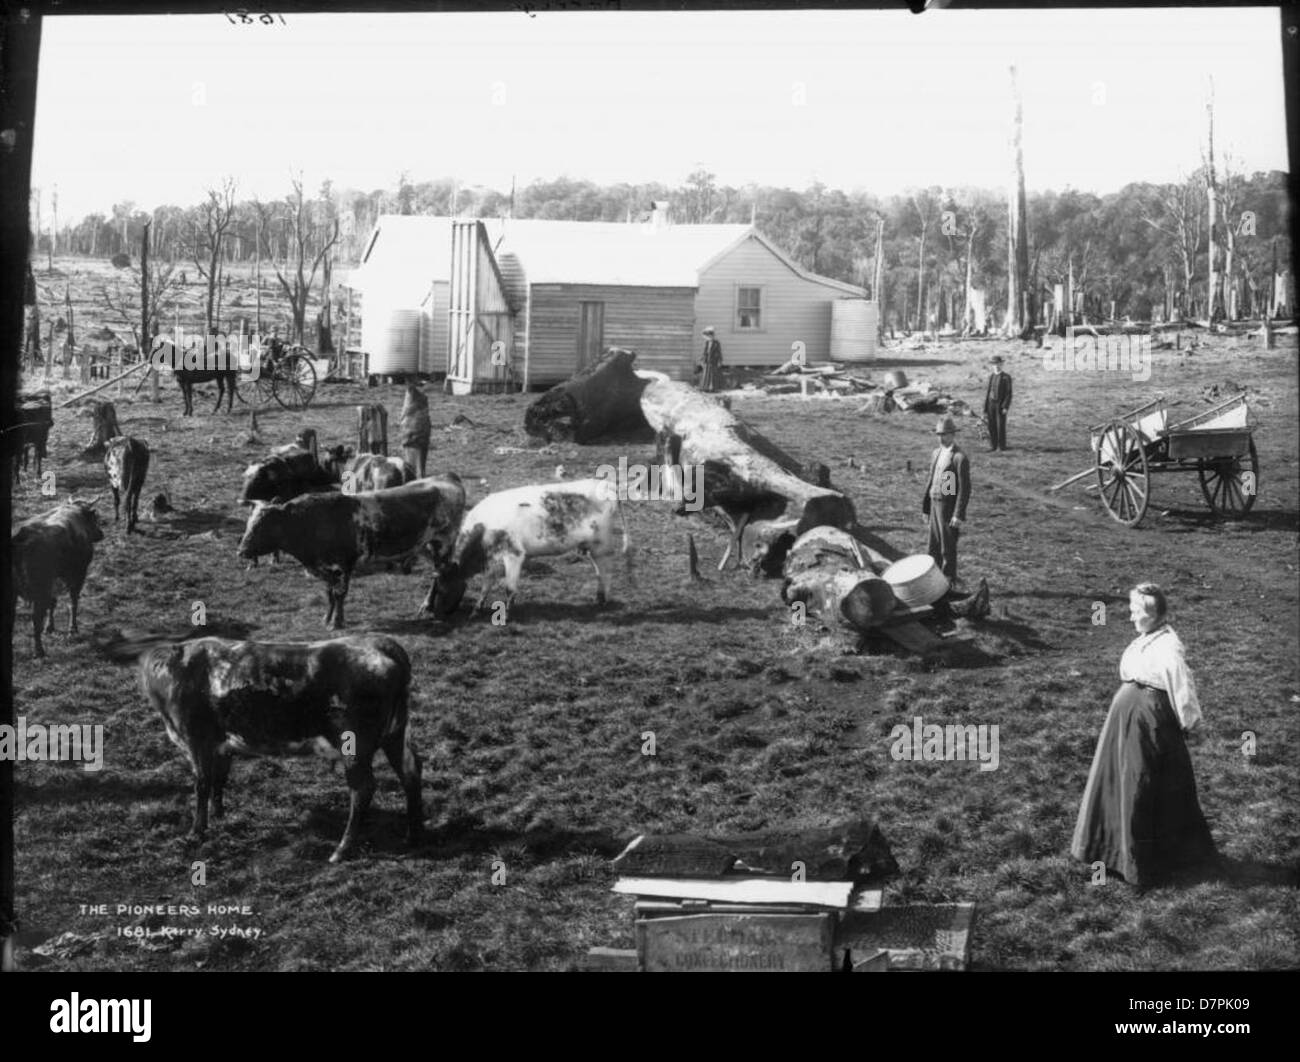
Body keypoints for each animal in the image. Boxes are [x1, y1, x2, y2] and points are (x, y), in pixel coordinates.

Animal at [9, 496, 105, 655]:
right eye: (95, 518)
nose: (101, 534)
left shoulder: (55, 581)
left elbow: (53, 603)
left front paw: (50, 627)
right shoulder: (79, 574)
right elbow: (73, 602)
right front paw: (73, 629)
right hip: (40, 590)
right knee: (36, 618)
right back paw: (39, 651)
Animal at [138, 629, 421, 863]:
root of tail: (381, 644)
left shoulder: (197, 742)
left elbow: (202, 784)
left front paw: (197, 831)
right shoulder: (222, 745)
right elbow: (220, 779)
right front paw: (218, 814)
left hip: (355, 746)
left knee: (362, 789)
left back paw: (342, 849)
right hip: (397, 734)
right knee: (411, 773)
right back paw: (413, 834)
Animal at [239, 473, 467, 629]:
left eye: (263, 525)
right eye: (249, 523)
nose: (241, 551)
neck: (312, 520)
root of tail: (446, 478)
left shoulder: (345, 563)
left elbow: (340, 593)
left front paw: (337, 621)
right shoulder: (326, 568)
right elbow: (329, 593)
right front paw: (327, 618)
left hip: (443, 543)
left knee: (440, 574)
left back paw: (431, 606)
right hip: (425, 546)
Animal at [421, 473, 629, 616]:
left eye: (442, 588)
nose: (435, 614)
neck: (484, 526)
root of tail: (607, 485)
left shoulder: (514, 554)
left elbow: (509, 587)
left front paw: (506, 613)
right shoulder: (492, 559)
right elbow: (487, 583)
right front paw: (477, 608)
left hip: (601, 545)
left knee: (606, 569)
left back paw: (603, 599)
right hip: (591, 546)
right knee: (599, 570)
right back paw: (599, 597)